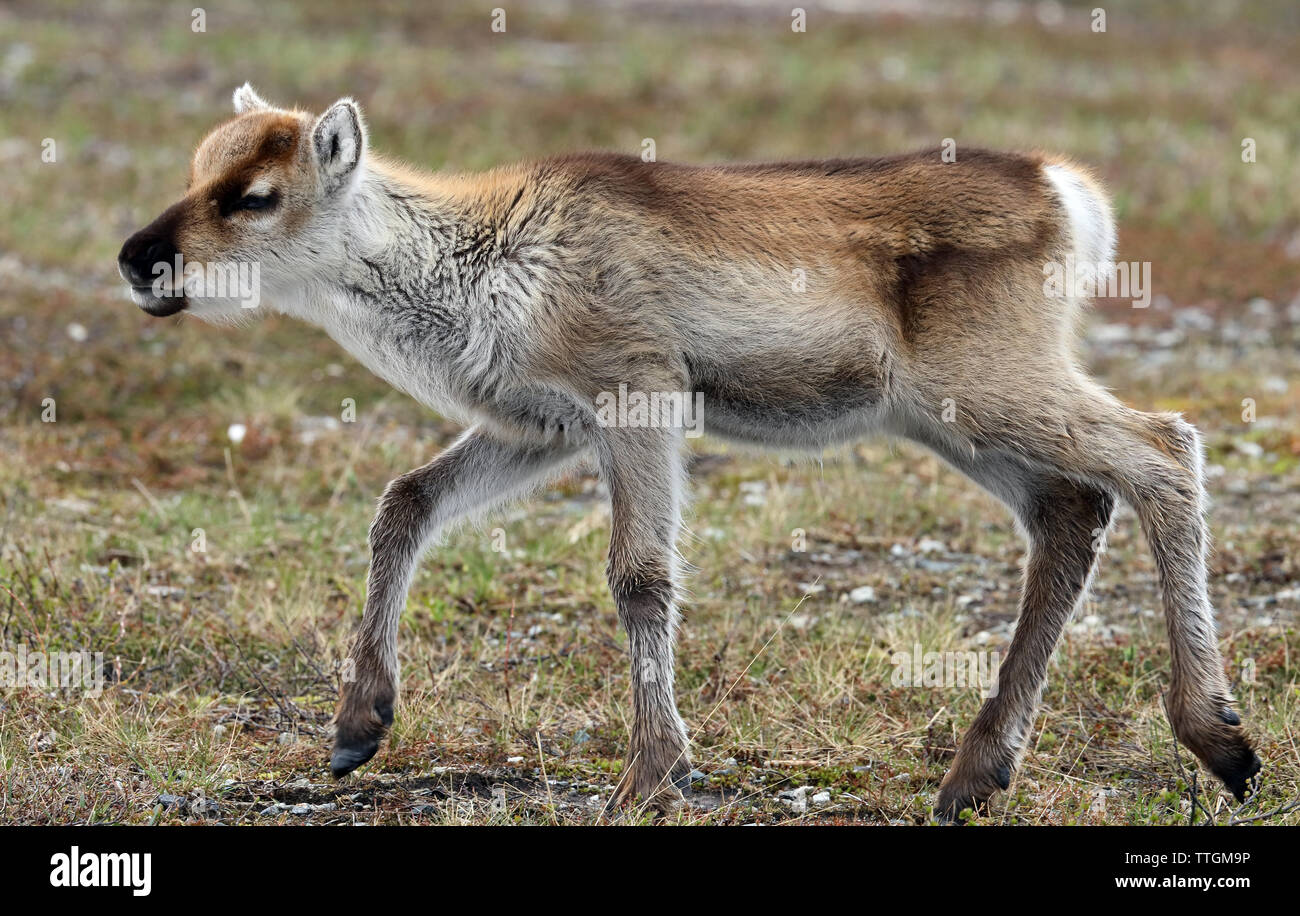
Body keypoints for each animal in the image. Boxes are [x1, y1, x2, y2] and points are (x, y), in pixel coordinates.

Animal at [119, 83, 1258, 815]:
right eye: (197, 165)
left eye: (253, 195)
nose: (138, 257)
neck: (473, 263)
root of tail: (1069, 191)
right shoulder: (539, 426)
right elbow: (404, 499)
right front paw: (359, 722)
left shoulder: (640, 391)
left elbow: (640, 573)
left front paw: (652, 773)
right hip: (947, 417)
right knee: (1074, 508)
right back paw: (974, 773)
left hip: (986, 386)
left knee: (1165, 449)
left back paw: (1220, 739)